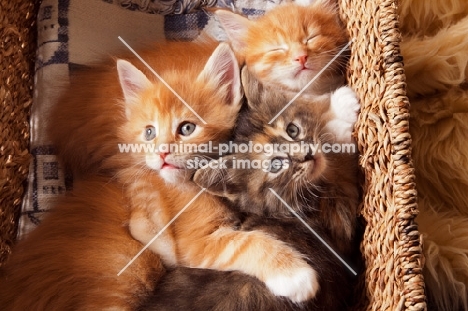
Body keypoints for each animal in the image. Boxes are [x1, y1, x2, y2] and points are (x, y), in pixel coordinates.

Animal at [140, 68, 362, 310]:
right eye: (275, 164)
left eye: (292, 130)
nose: (308, 155)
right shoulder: (337, 218)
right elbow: (341, 163)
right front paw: (342, 108)